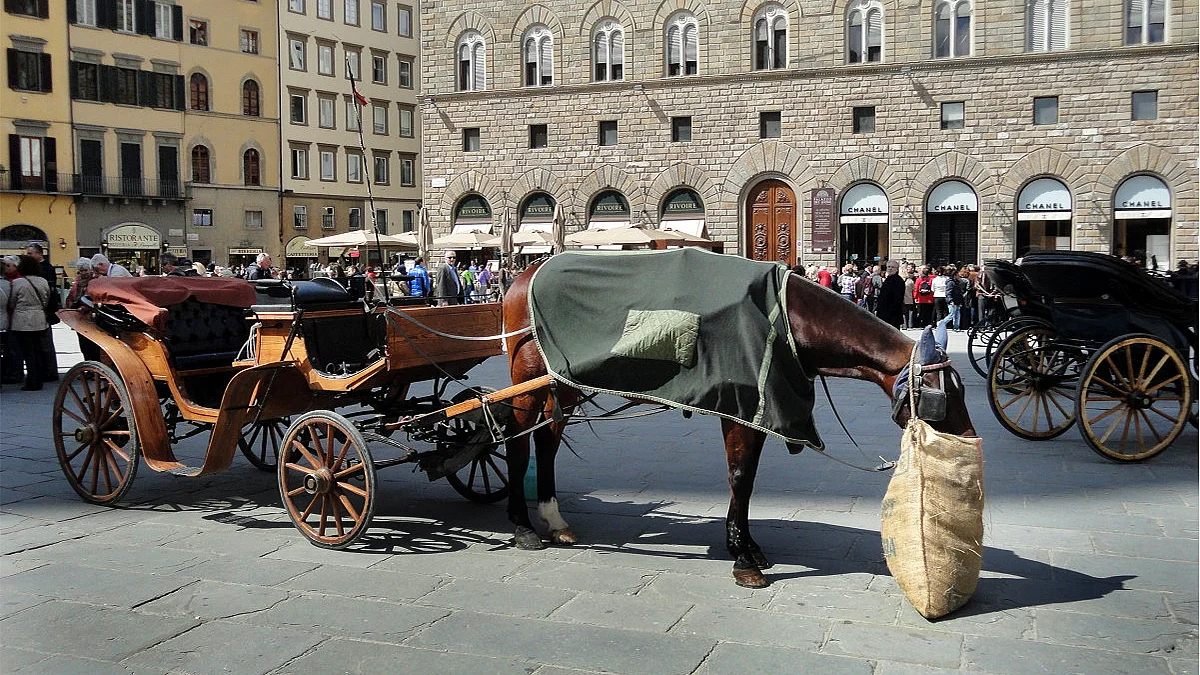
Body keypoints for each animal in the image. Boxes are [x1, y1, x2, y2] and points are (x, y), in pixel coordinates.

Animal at [496, 260, 974, 586]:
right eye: (946, 397)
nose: (969, 438)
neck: (788, 319)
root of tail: (523, 275)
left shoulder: (759, 413)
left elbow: (747, 479)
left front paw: (745, 545)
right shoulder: (741, 411)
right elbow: (740, 477)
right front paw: (743, 558)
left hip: (561, 385)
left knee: (546, 443)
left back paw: (553, 517)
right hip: (527, 382)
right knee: (517, 444)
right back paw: (521, 525)